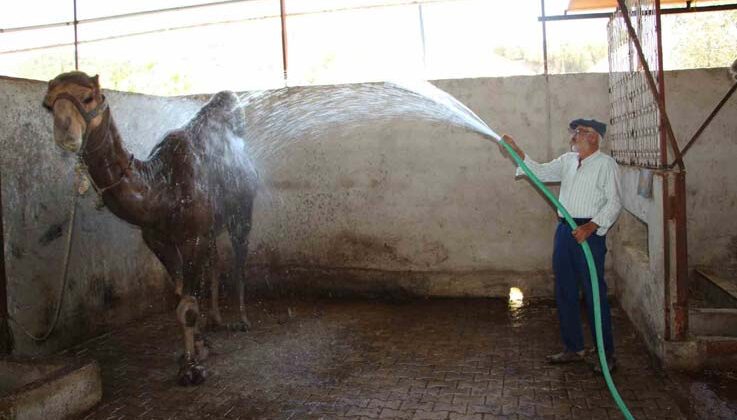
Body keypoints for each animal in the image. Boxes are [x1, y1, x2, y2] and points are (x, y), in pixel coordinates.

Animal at [43, 71, 258, 384]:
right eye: (48, 104)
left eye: (88, 96)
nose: (65, 133)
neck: (160, 189)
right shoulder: (159, 241)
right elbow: (181, 296)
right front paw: (199, 346)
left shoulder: (192, 238)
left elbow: (187, 307)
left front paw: (191, 368)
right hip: (212, 228)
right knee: (215, 261)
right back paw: (217, 320)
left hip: (241, 210)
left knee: (240, 257)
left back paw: (242, 319)